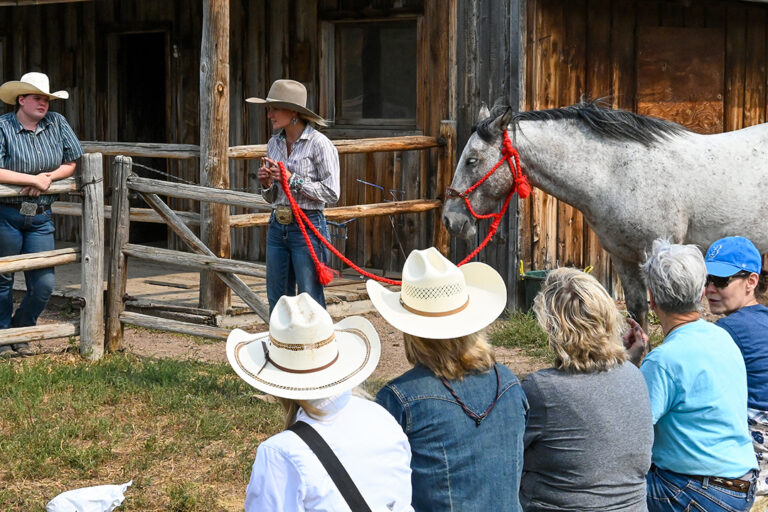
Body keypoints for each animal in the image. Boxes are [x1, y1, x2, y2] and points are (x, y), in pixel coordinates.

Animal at [443, 101, 768, 325]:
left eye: (472, 160)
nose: (450, 219)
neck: (617, 172)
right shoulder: (623, 257)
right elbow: (638, 314)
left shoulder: (658, 254)